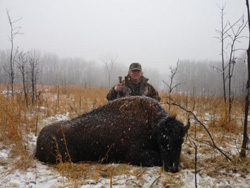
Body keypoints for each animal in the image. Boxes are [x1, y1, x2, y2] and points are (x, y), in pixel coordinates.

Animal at [35, 96, 189, 173]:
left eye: (181, 141)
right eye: (162, 142)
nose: (172, 168)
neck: (152, 126)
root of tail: (39, 138)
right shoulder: (134, 155)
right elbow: (155, 158)